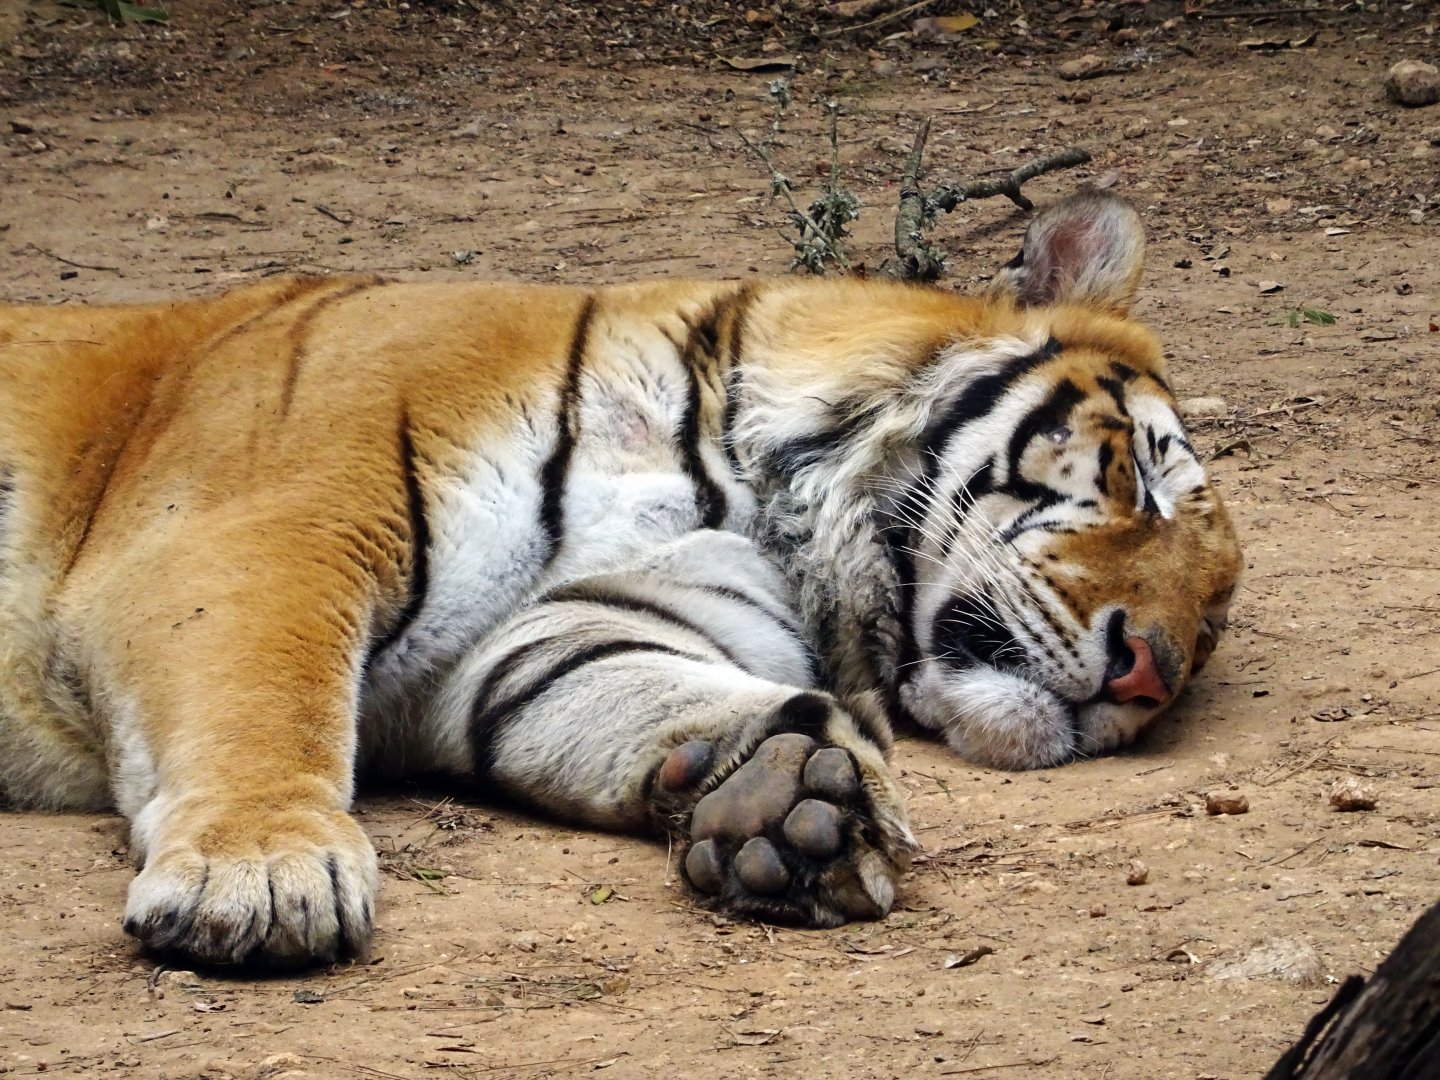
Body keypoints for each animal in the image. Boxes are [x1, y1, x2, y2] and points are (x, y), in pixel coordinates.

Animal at [0, 190, 1241, 966]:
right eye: (1140, 480)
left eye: (1216, 621)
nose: (1148, 676)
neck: (749, 485)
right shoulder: (267, 529)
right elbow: (265, 701)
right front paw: (261, 876)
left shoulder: (538, 636)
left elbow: (620, 684)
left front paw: (786, 793)